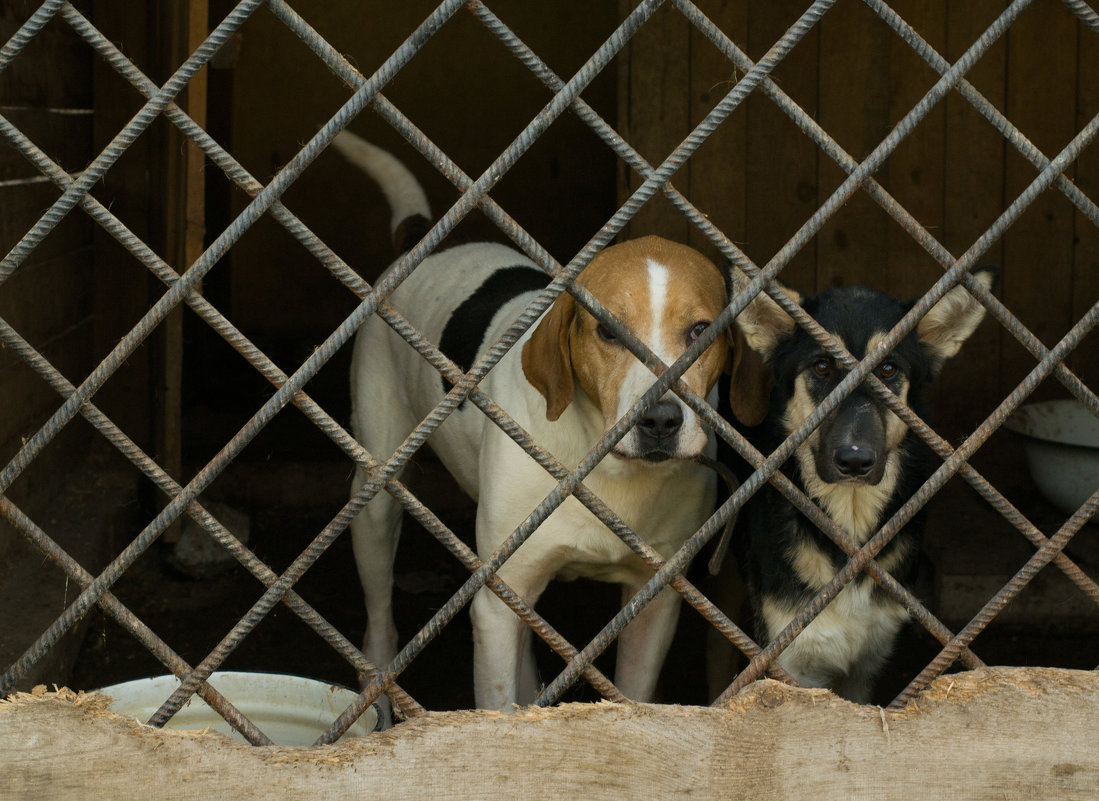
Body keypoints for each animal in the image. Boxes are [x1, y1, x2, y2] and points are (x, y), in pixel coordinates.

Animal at [329, 131, 769, 720]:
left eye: (701, 330)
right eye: (607, 331)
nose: (659, 420)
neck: (608, 472)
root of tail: (425, 238)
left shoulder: (654, 602)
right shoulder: (496, 602)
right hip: (377, 495)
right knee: (380, 615)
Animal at [716, 265, 1002, 703]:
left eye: (887, 370)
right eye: (821, 367)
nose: (854, 461)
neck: (848, 527)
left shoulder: (865, 665)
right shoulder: (791, 664)